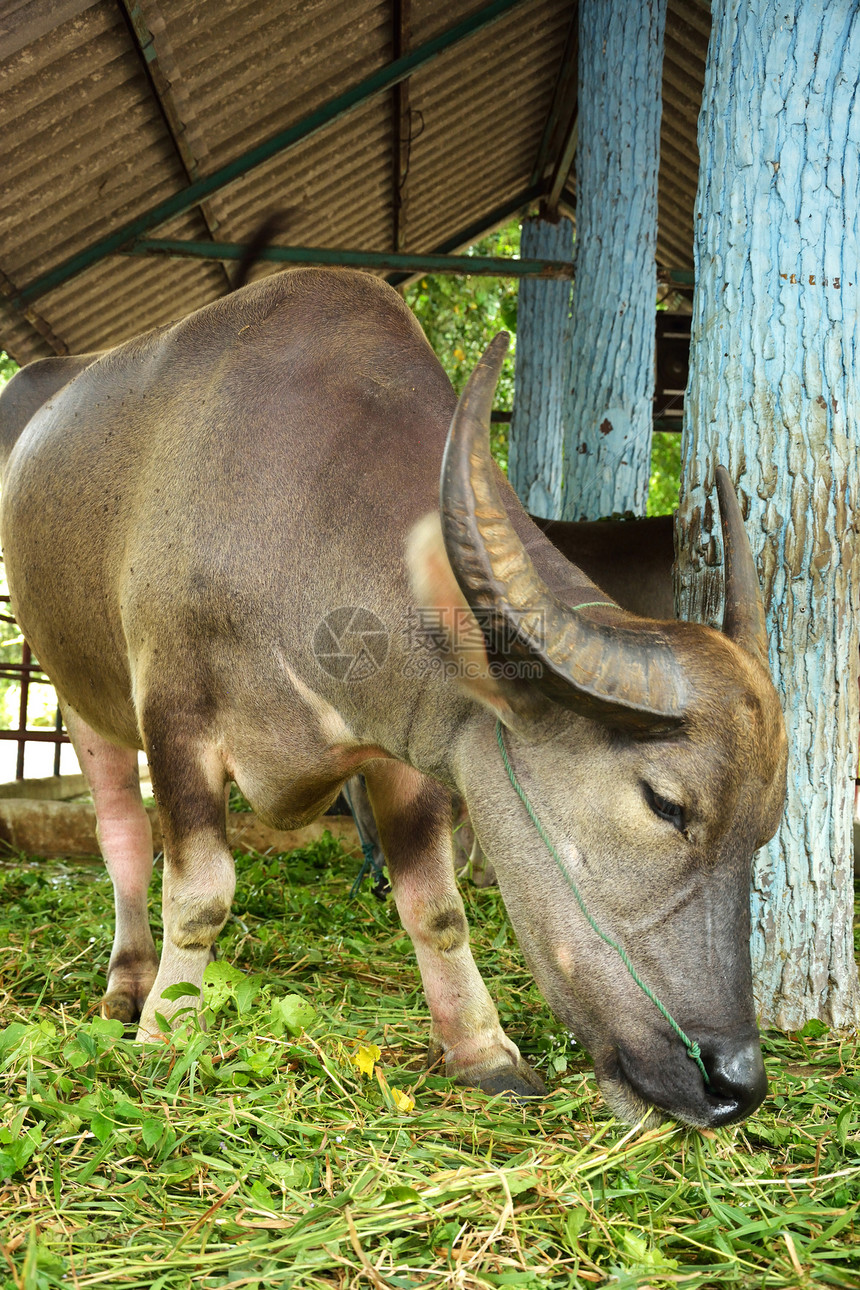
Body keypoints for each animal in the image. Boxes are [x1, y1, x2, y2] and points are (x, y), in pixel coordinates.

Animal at [0, 267, 789, 1124]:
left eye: (765, 831)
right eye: (664, 804)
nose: (735, 1083)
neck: (304, 512)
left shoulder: (408, 742)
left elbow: (436, 907)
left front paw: (483, 1050)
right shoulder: (176, 714)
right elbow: (201, 894)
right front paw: (165, 1035)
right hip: (78, 692)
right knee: (120, 838)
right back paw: (130, 983)